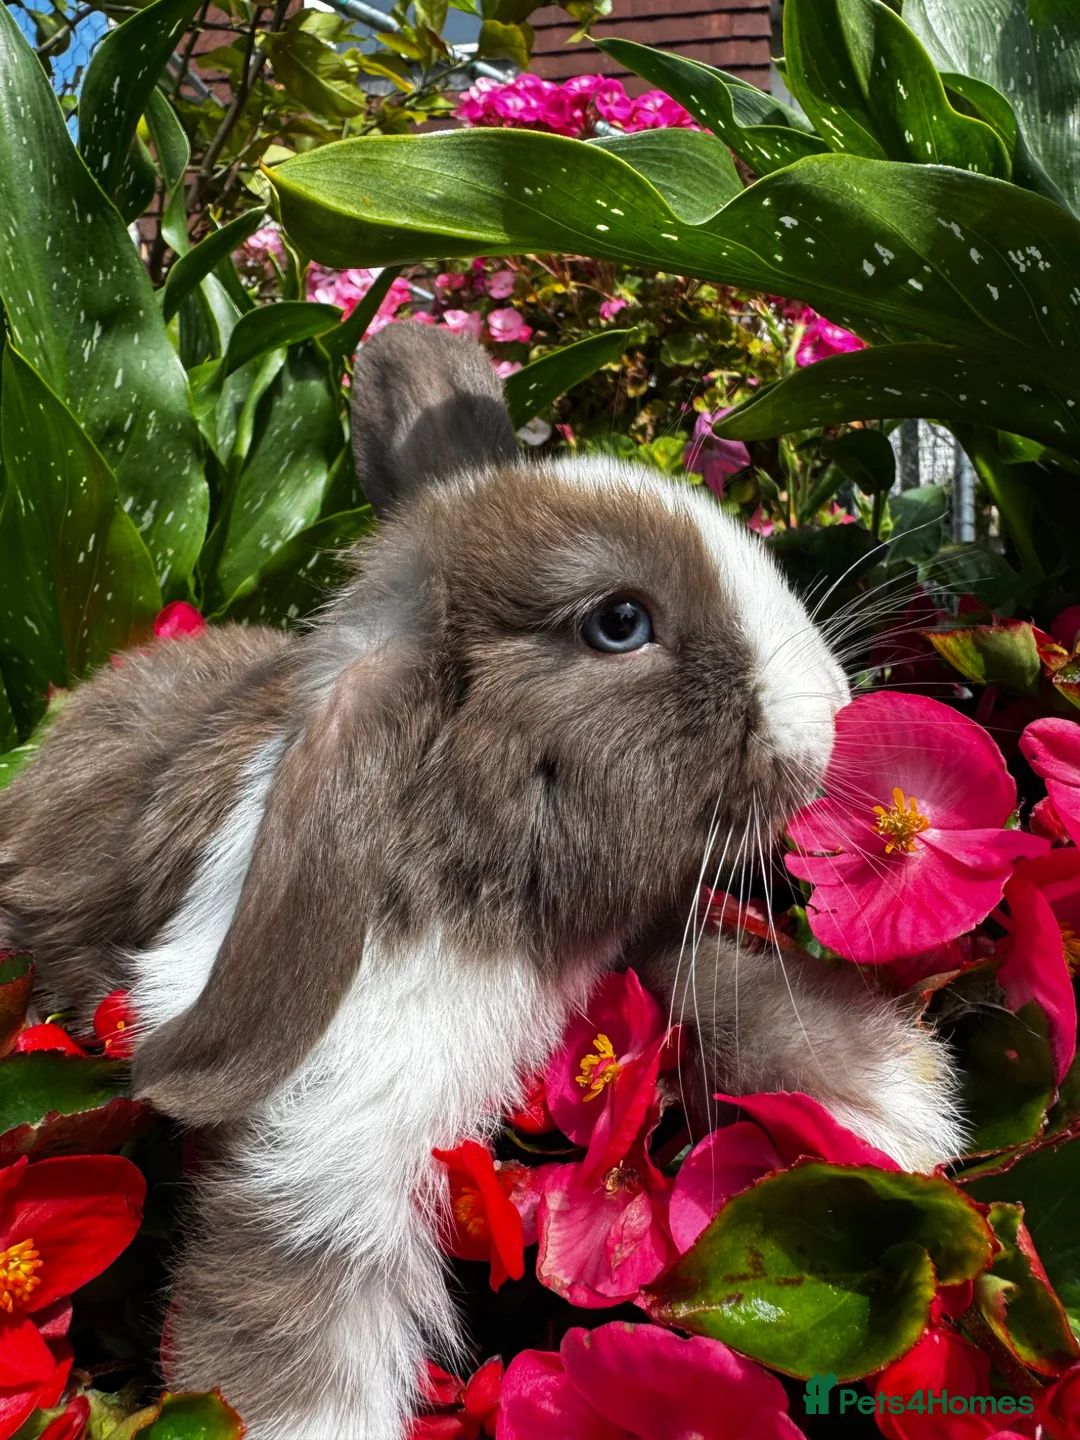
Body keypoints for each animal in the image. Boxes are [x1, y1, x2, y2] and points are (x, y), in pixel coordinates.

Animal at [0, 323, 963, 1440]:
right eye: (619, 621)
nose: (835, 709)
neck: (493, 904)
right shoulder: (323, 1154)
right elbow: (292, 1335)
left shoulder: (639, 934)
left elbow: (730, 981)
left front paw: (892, 1099)